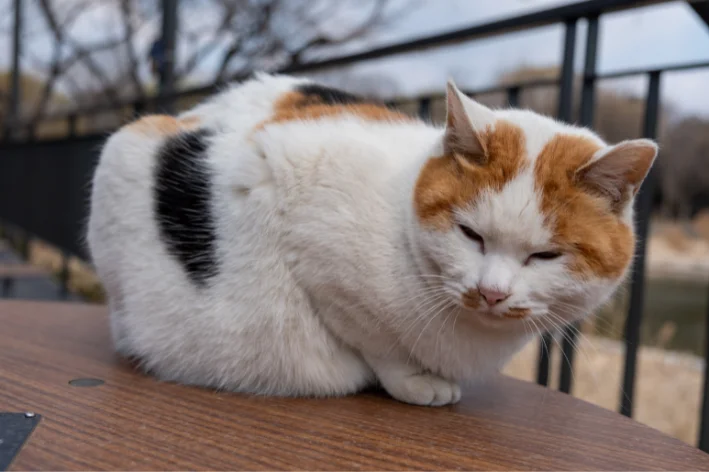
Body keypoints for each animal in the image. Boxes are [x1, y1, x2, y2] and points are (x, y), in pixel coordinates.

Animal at [88, 73, 660, 406]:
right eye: (470, 234)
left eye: (545, 255)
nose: (491, 293)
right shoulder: (294, 198)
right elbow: (374, 339)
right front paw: (415, 381)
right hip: (123, 150)